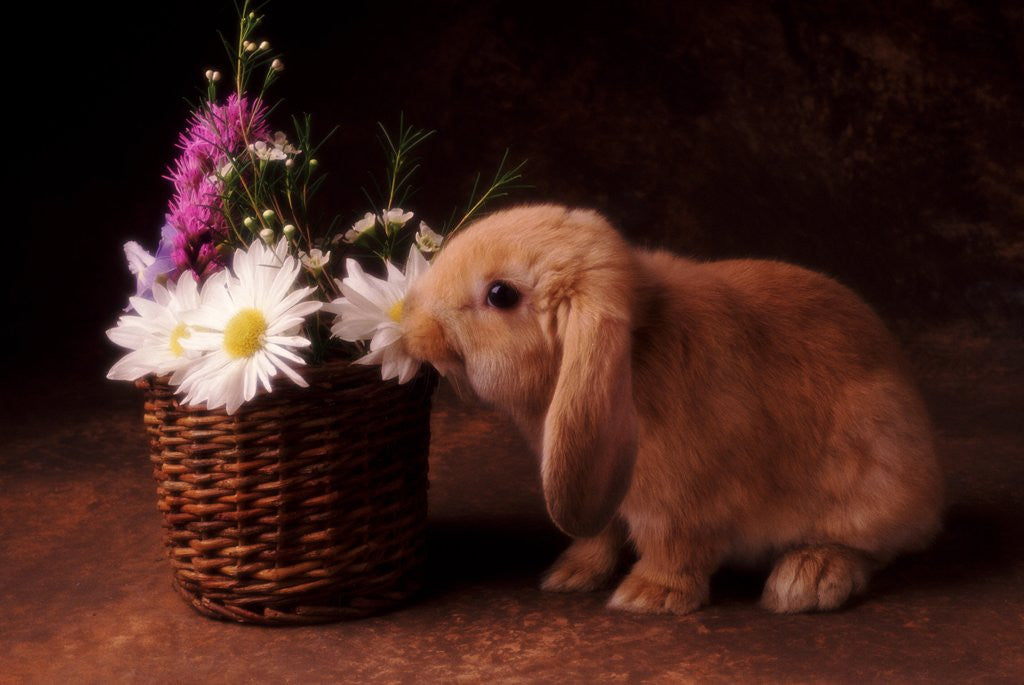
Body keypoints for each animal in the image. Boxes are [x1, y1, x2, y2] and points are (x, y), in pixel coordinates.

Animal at [400, 204, 944, 614]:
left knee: (872, 548)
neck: (636, 349)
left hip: (873, 475)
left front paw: (647, 596)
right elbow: (601, 534)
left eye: (500, 294)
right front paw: (569, 574)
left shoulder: (682, 505)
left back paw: (806, 581)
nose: (410, 327)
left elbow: (673, 546)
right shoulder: (597, 484)